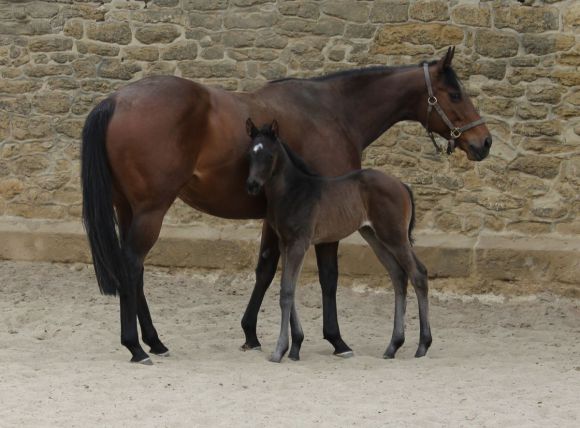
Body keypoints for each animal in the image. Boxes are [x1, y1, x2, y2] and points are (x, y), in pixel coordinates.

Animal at [245, 118, 430, 362]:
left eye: (269, 155)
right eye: (250, 153)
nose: (252, 185)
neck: (294, 191)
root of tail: (402, 185)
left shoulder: (298, 244)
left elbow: (286, 293)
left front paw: (279, 351)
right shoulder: (285, 244)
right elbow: (289, 290)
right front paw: (294, 348)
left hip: (395, 237)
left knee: (418, 274)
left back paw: (423, 346)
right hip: (374, 236)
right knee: (398, 276)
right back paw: (392, 346)